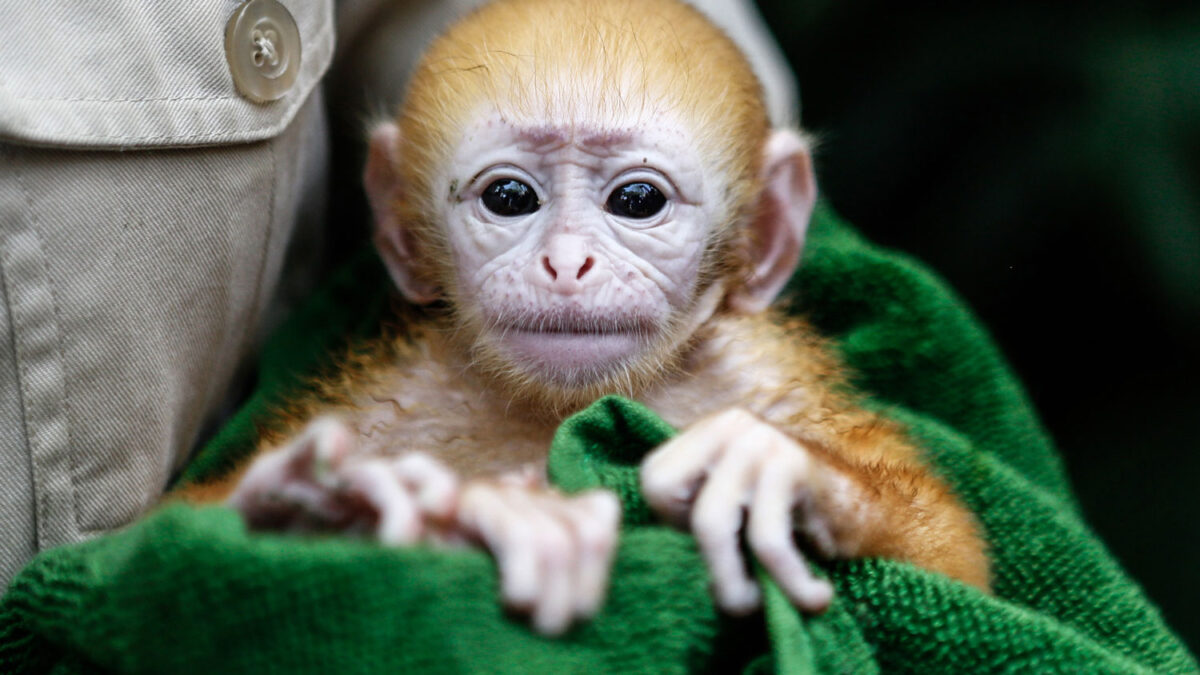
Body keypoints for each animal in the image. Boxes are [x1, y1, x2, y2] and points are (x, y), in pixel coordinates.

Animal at [177, 0, 984, 634]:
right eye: (509, 197)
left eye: (637, 200)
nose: (566, 264)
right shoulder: (392, 400)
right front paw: (325, 502)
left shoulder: (762, 376)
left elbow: (957, 571)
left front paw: (786, 471)